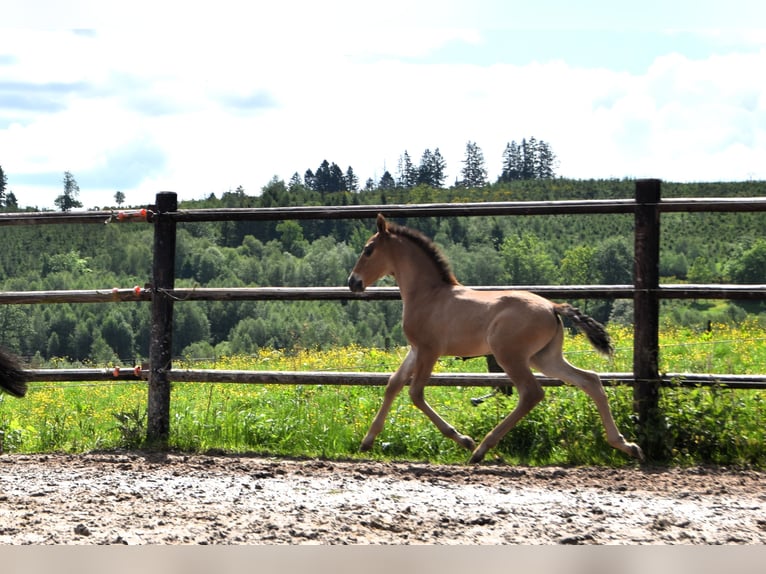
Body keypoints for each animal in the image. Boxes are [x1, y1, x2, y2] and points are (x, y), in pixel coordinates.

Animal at [350, 214, 648, 466]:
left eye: (368, 250)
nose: (353, 282)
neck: (429, 294)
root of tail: (552, 306)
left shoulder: (428, 350)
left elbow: (415, 392)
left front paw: (463, 439)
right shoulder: (415, 350)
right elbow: (393, 384)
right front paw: (367, 441)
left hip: (509, 355)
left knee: (532, 393)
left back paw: (482, 449)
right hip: (545, 358)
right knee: (590, 380)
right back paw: (627, 445)